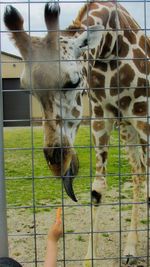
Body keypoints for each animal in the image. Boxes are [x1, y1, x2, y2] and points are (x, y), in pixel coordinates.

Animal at [3, 1, 150, 266]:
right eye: (26, 88)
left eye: (72, 82)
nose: (57, 161)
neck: (110, 47)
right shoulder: (101, 119)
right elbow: (97, 189)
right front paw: (90, 259)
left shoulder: (145, 117)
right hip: (126, 128)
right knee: (138, 172)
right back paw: (130, 248)